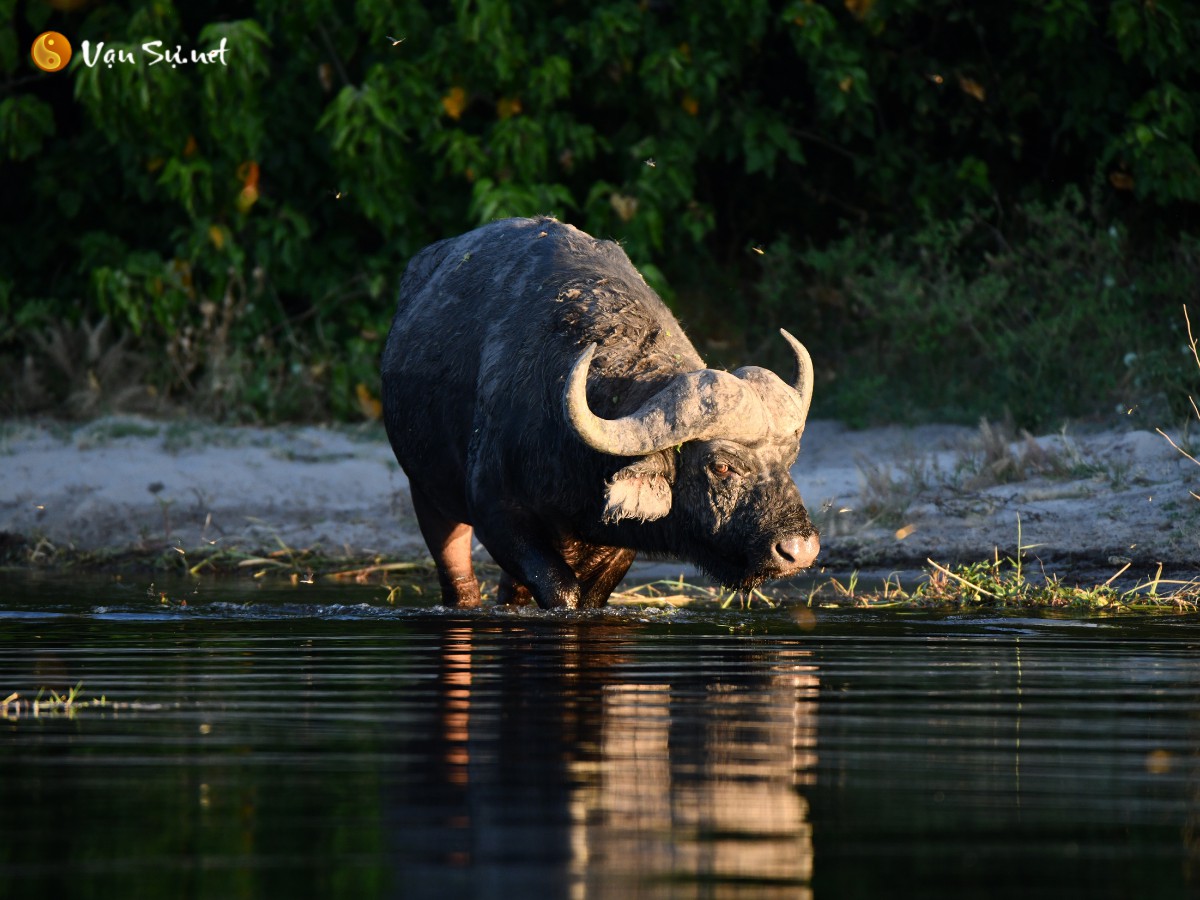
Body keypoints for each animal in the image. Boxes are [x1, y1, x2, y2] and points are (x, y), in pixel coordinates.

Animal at [381, 217, 816, 614]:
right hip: (427, 493)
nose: (800, 550)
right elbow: (560, 590)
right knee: (459, 581)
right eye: (721, 466)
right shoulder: (496, 513)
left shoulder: (618, 540)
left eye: (789, 460)